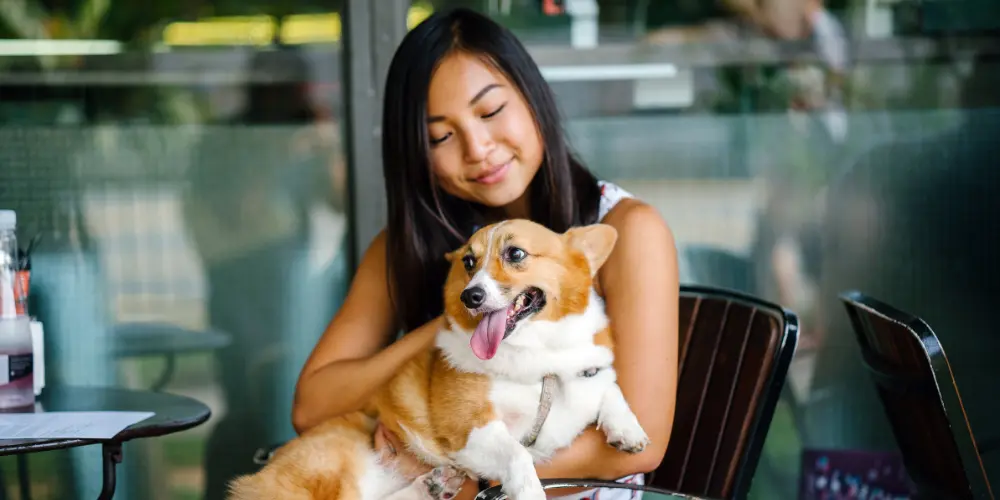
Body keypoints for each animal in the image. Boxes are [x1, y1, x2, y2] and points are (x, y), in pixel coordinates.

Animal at [227, 219, 648, 500]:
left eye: (515, 254)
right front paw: (529, 491)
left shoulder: (585, 375)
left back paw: (431, 485)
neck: (539, 358)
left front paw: (628, 430)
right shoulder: (471, 428)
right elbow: (516, 454)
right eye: (468, 262)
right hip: (338, 470)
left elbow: (610, 387)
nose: (470, 296)